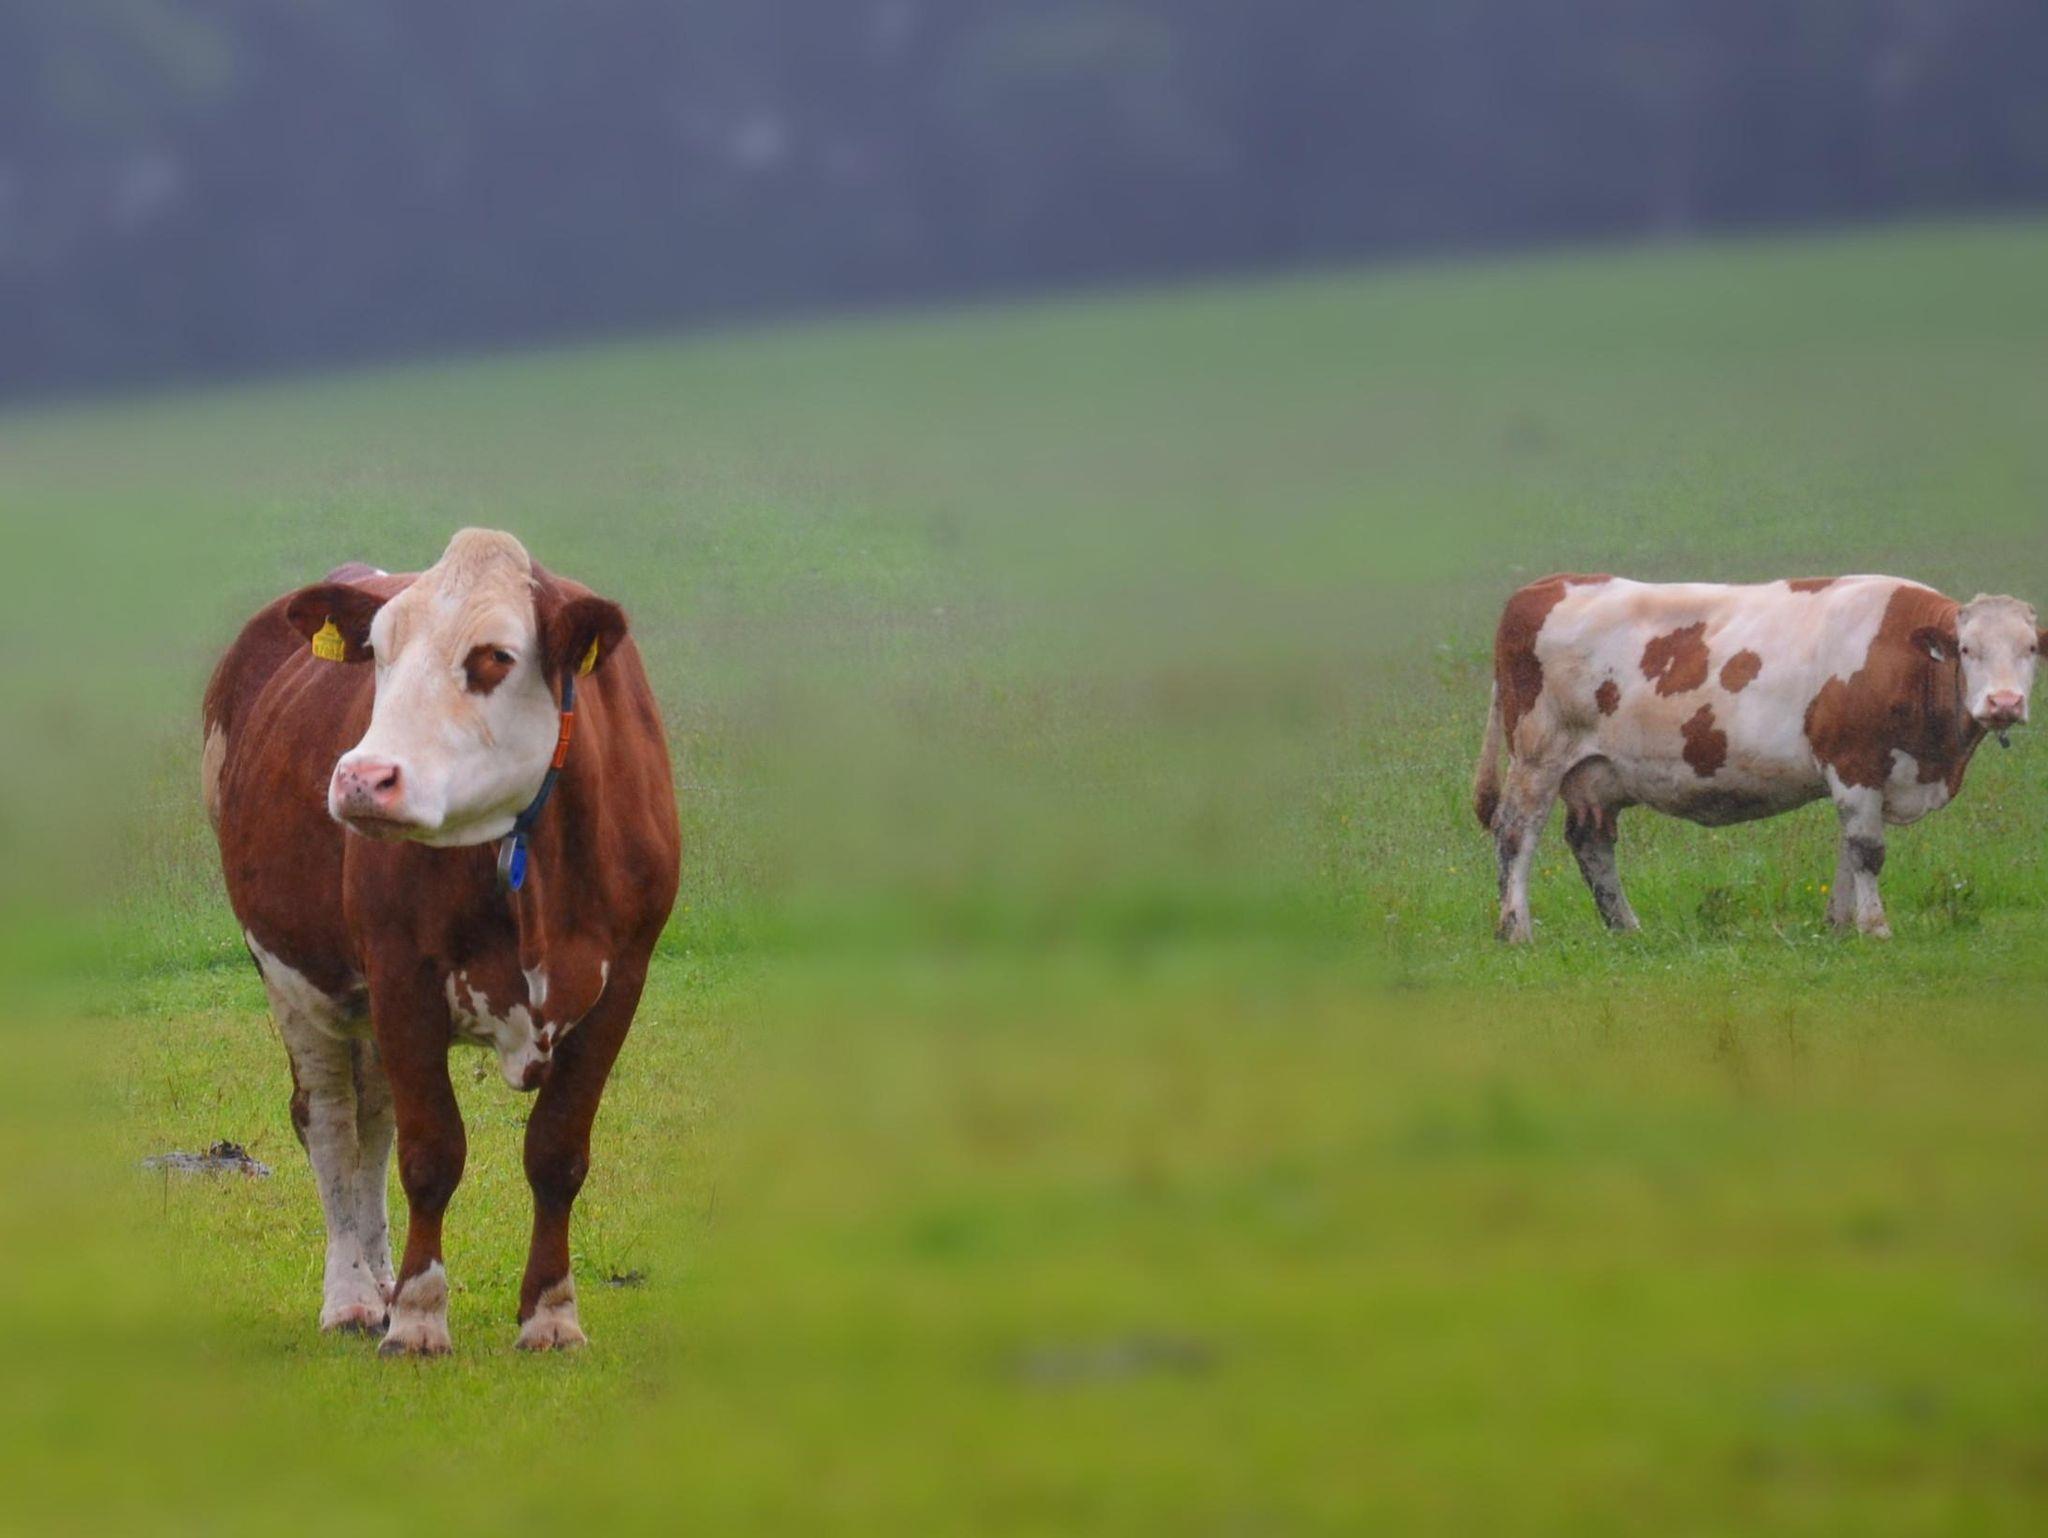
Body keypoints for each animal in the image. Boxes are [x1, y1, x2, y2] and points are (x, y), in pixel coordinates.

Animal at [202, 528, 680, 1354]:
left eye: (494, 656)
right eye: (378, 653)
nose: (363, 778)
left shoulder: (622, 983)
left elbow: (557, 1153)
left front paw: (551, 1314)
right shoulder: (403, 978)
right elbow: (431, 1153)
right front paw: (421, 1318)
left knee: (372, 1121)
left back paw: (381, 1283)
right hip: (294, 976)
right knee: (332, 1123)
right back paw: (355, 1296)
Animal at [1471, 574, 2043, 943]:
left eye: (2032, 649)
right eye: (1967, 649)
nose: (2004, 703)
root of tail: (1547, 584)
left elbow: (1847, 850)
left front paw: (1839, 926)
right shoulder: (1854, 761)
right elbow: (1867, 850)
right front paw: (1875, 927)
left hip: (1596, 773)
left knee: (1591, 843)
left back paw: (1625, 928)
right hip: (1538, 755)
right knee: (1516, 832)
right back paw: (1516, 929)